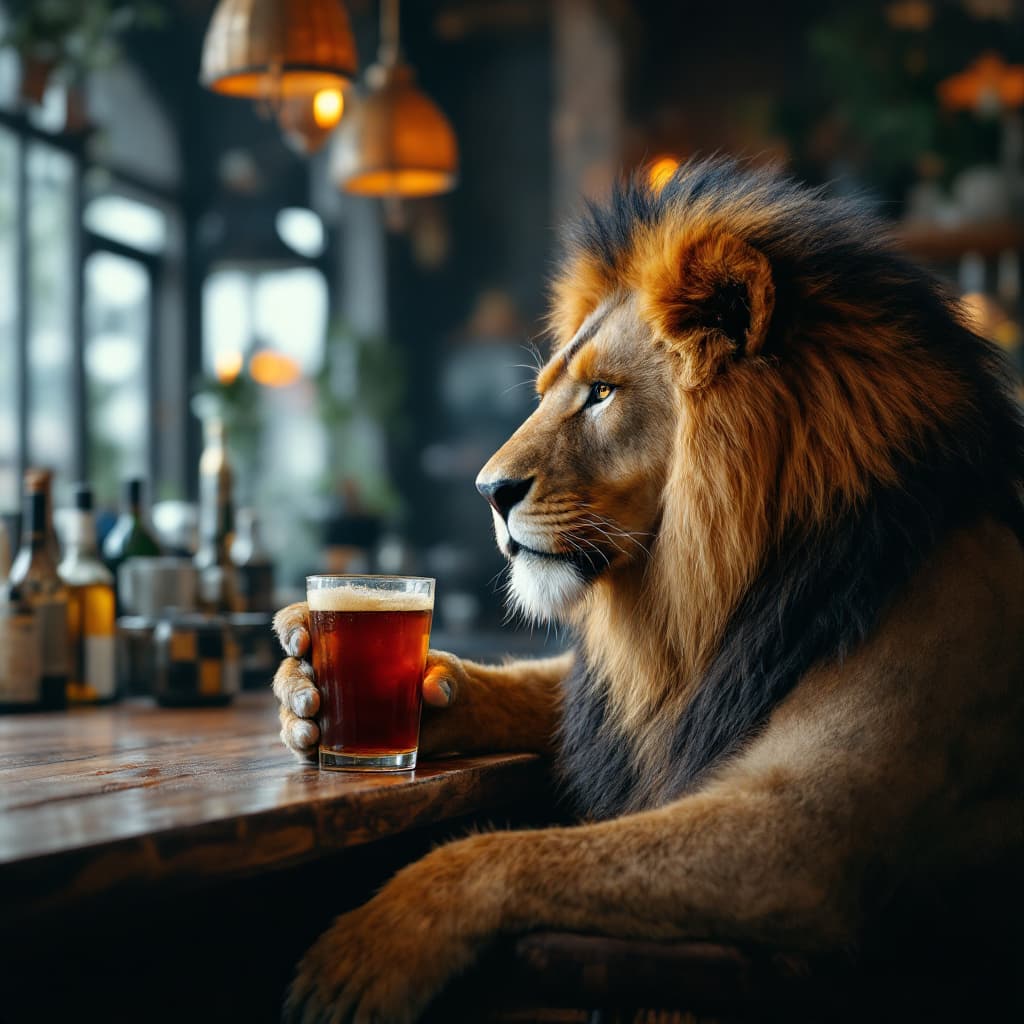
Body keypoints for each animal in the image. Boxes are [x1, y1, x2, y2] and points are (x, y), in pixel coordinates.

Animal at [271, 158, 1024, 1023]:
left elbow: (516, 851)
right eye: (550, 388)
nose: (488, 490)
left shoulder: (798, 837)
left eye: (602, 393)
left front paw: (376, 941)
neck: (713, 588)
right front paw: (309, 682)